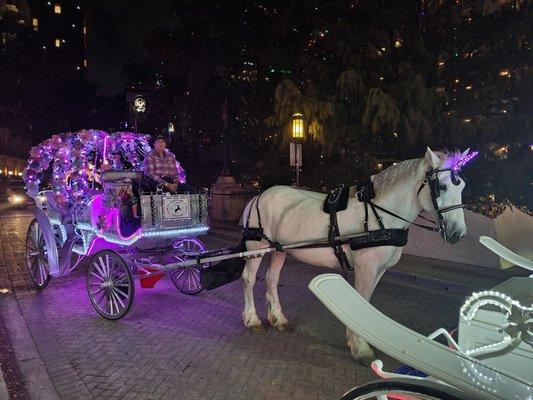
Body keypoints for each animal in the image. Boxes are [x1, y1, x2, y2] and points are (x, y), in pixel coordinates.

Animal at [240, 148, 466, 366]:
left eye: (462, 187)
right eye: (442, 187)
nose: (458, 233)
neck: (381, 216)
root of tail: (258, 196)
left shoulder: (379, 270)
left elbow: (365, 302)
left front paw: (354, 340)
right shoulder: (366, 268)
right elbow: (362, 301)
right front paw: (362, 348)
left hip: (279, 250)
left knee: (271, 279)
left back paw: (279, 319)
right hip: (256, 249)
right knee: (249, 279)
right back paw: (252, 320)